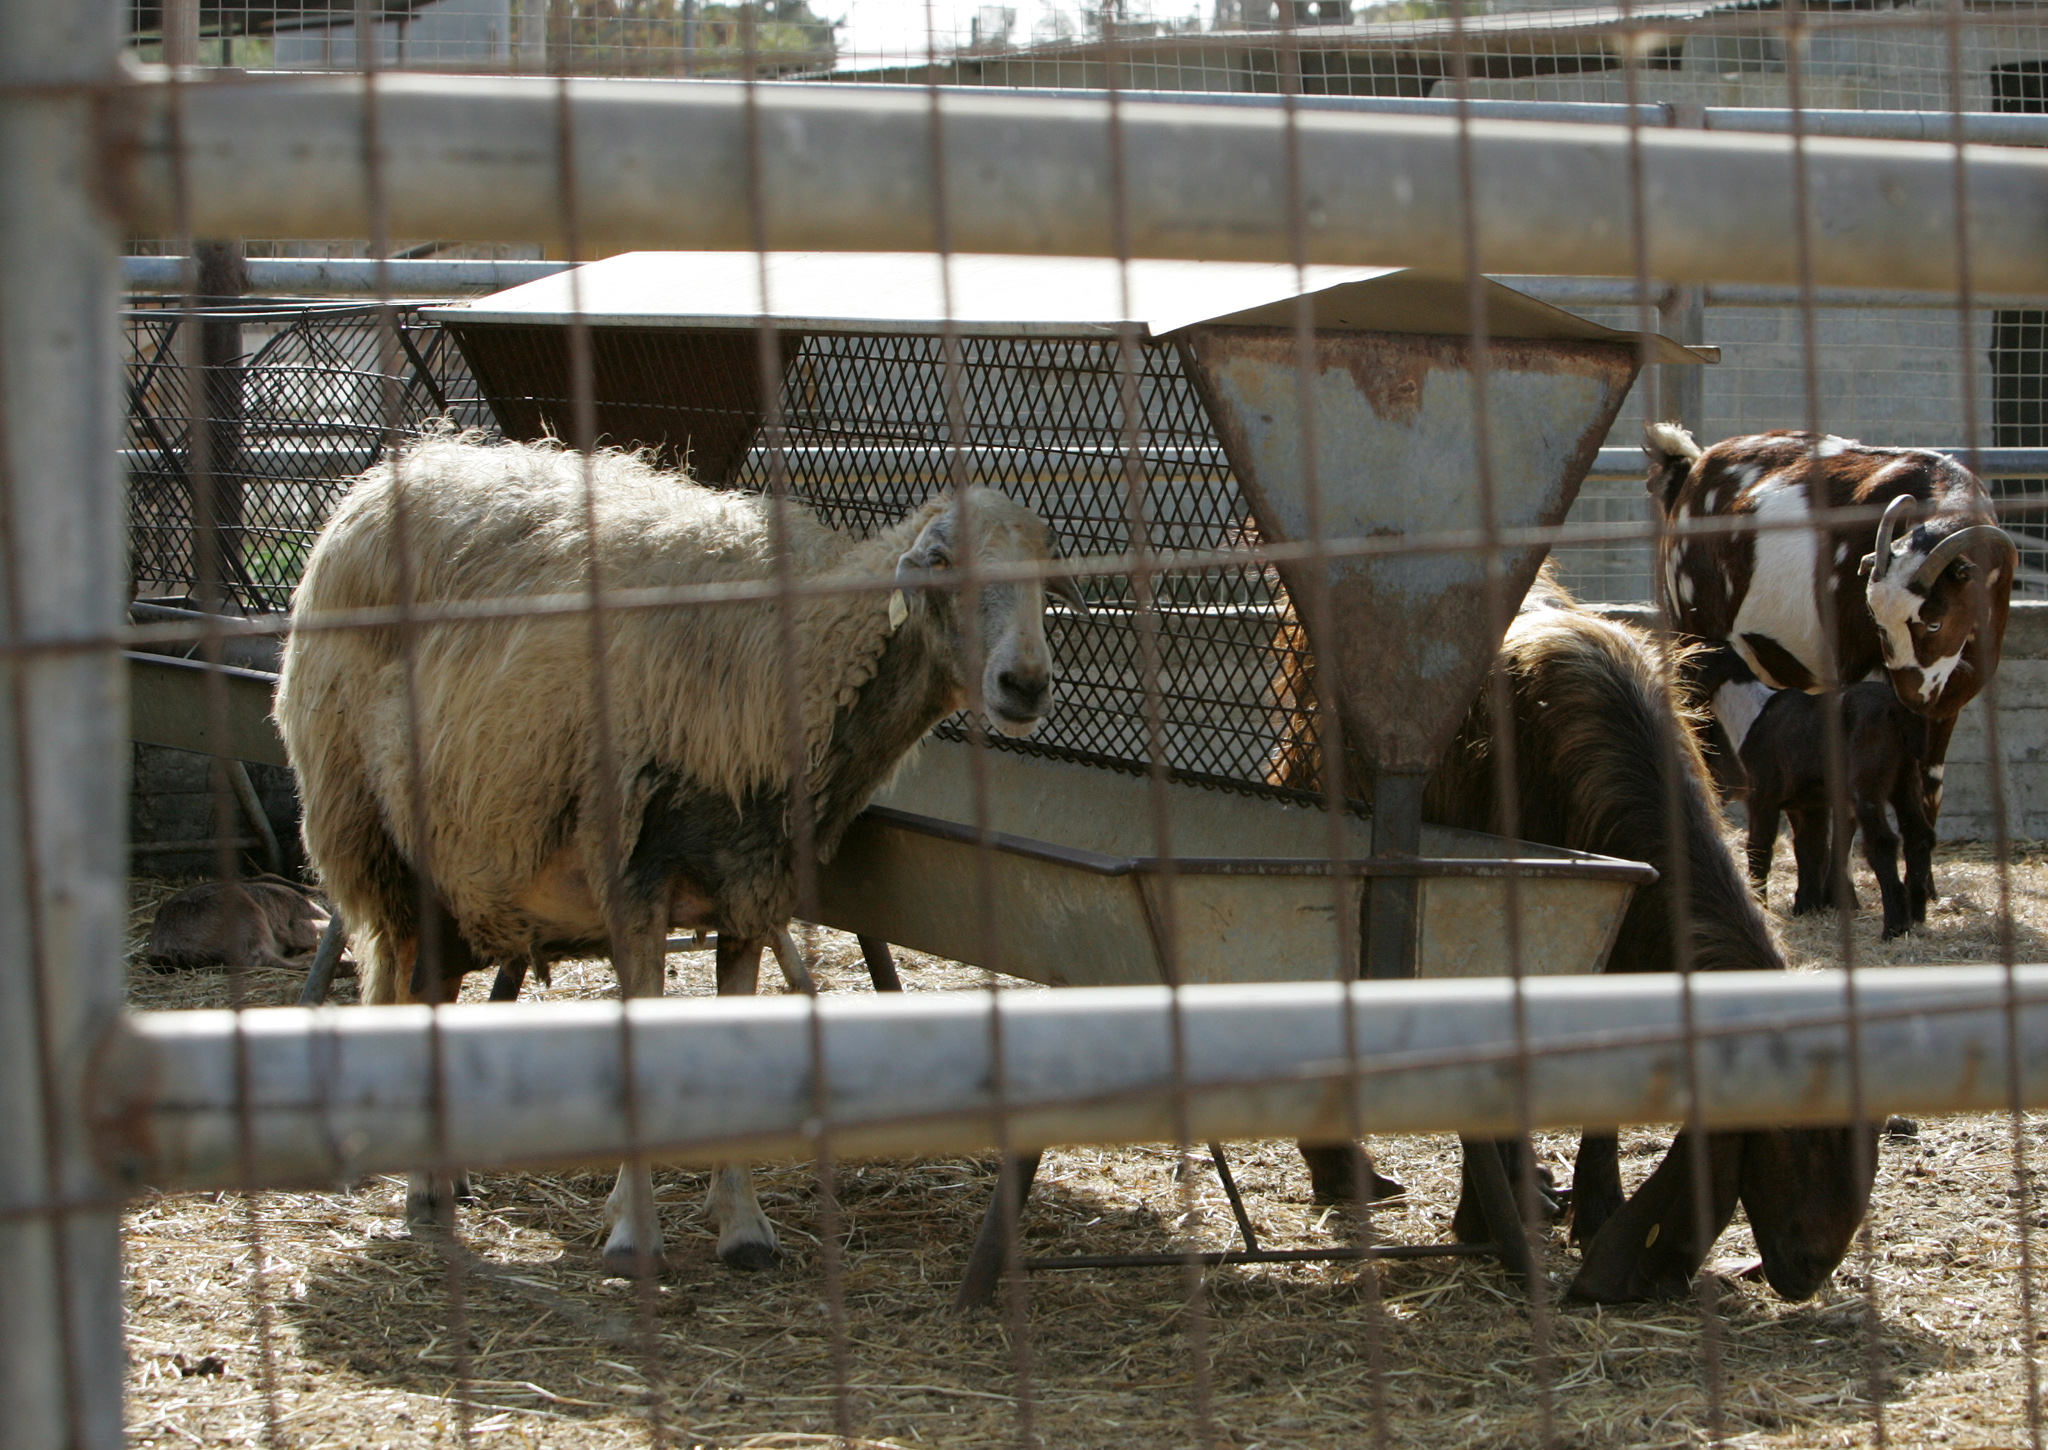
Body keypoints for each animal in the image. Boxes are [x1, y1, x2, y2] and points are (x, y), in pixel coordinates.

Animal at [278, 436, 1081, 1277]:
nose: (1025, 683)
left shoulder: (752, 885)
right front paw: (634, 1235)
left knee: (433, 987)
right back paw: (424, 1195)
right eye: (944, 563)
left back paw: (448, 1177)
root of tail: (387, 478)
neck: (796, 666)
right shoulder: (633, 874)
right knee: (409, 987)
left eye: (1044, 572)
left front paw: (742, 1227)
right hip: (377, 835)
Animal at [1646, 419, 2015, 843]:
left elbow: (1929, 792)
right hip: (1690, 636)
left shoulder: (1946, 705)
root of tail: (1689, 471)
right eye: (1874, 617)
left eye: (1935, 621)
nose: (1911, 695)